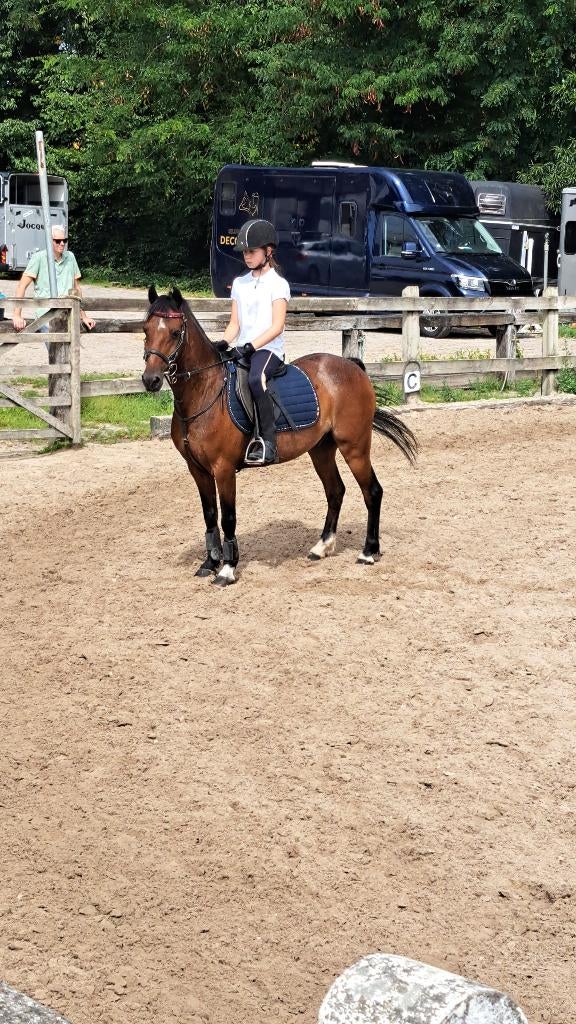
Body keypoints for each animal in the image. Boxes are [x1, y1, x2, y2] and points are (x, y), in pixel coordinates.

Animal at [142, 286, 417, 587]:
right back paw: (321, 547)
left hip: (354, 446)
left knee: (372, 491)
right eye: (145, 329)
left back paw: (368, 552)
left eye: (175, 332)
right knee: (335, 491)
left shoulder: (223, 468)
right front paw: (209, 563)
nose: (150, 380)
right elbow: (210, 515)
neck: (205, 392)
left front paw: (227, 570)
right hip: (321, 449)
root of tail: (352, 366)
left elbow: (228, 518)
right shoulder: (197, 469)